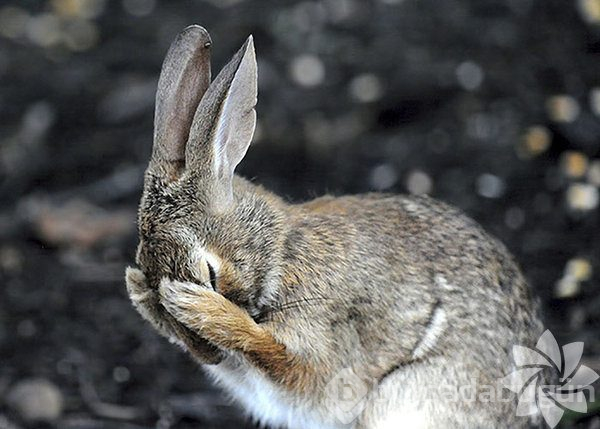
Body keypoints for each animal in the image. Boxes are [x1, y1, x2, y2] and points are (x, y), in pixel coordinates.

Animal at [126, 25, 548, 426]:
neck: (280, 253)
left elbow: (283, 359)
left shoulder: (322, 340)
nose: (208, 355)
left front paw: (201, 308)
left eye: (209, 273)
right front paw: (138, 292)